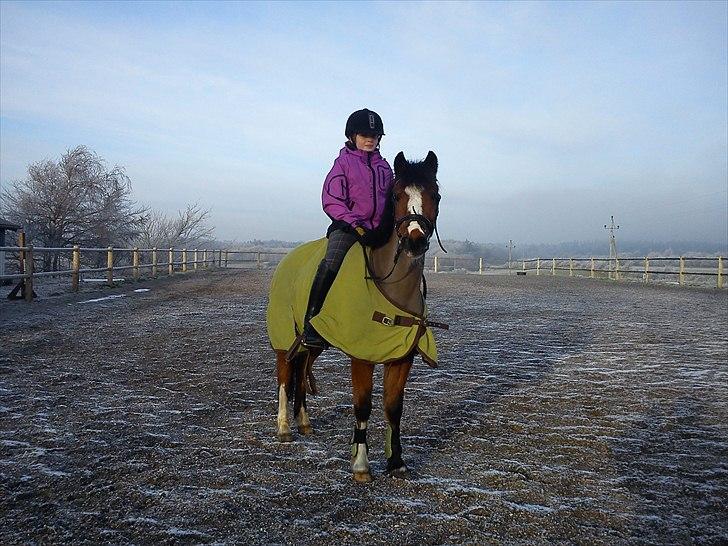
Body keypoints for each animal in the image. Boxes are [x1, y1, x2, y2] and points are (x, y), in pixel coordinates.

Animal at [264, 149, 440, 480]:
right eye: (396, 195)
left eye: (435, 194)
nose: (414, 240)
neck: (388, 285)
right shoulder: (362, 355)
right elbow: (362, 405)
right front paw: (360, 464)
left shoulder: (401, 357)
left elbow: (393, 407)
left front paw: (396, 462)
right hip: (284, 335)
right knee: (283, 375)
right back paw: (283, 428)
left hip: (312, 343)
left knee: (301, 372)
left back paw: (304, 422)